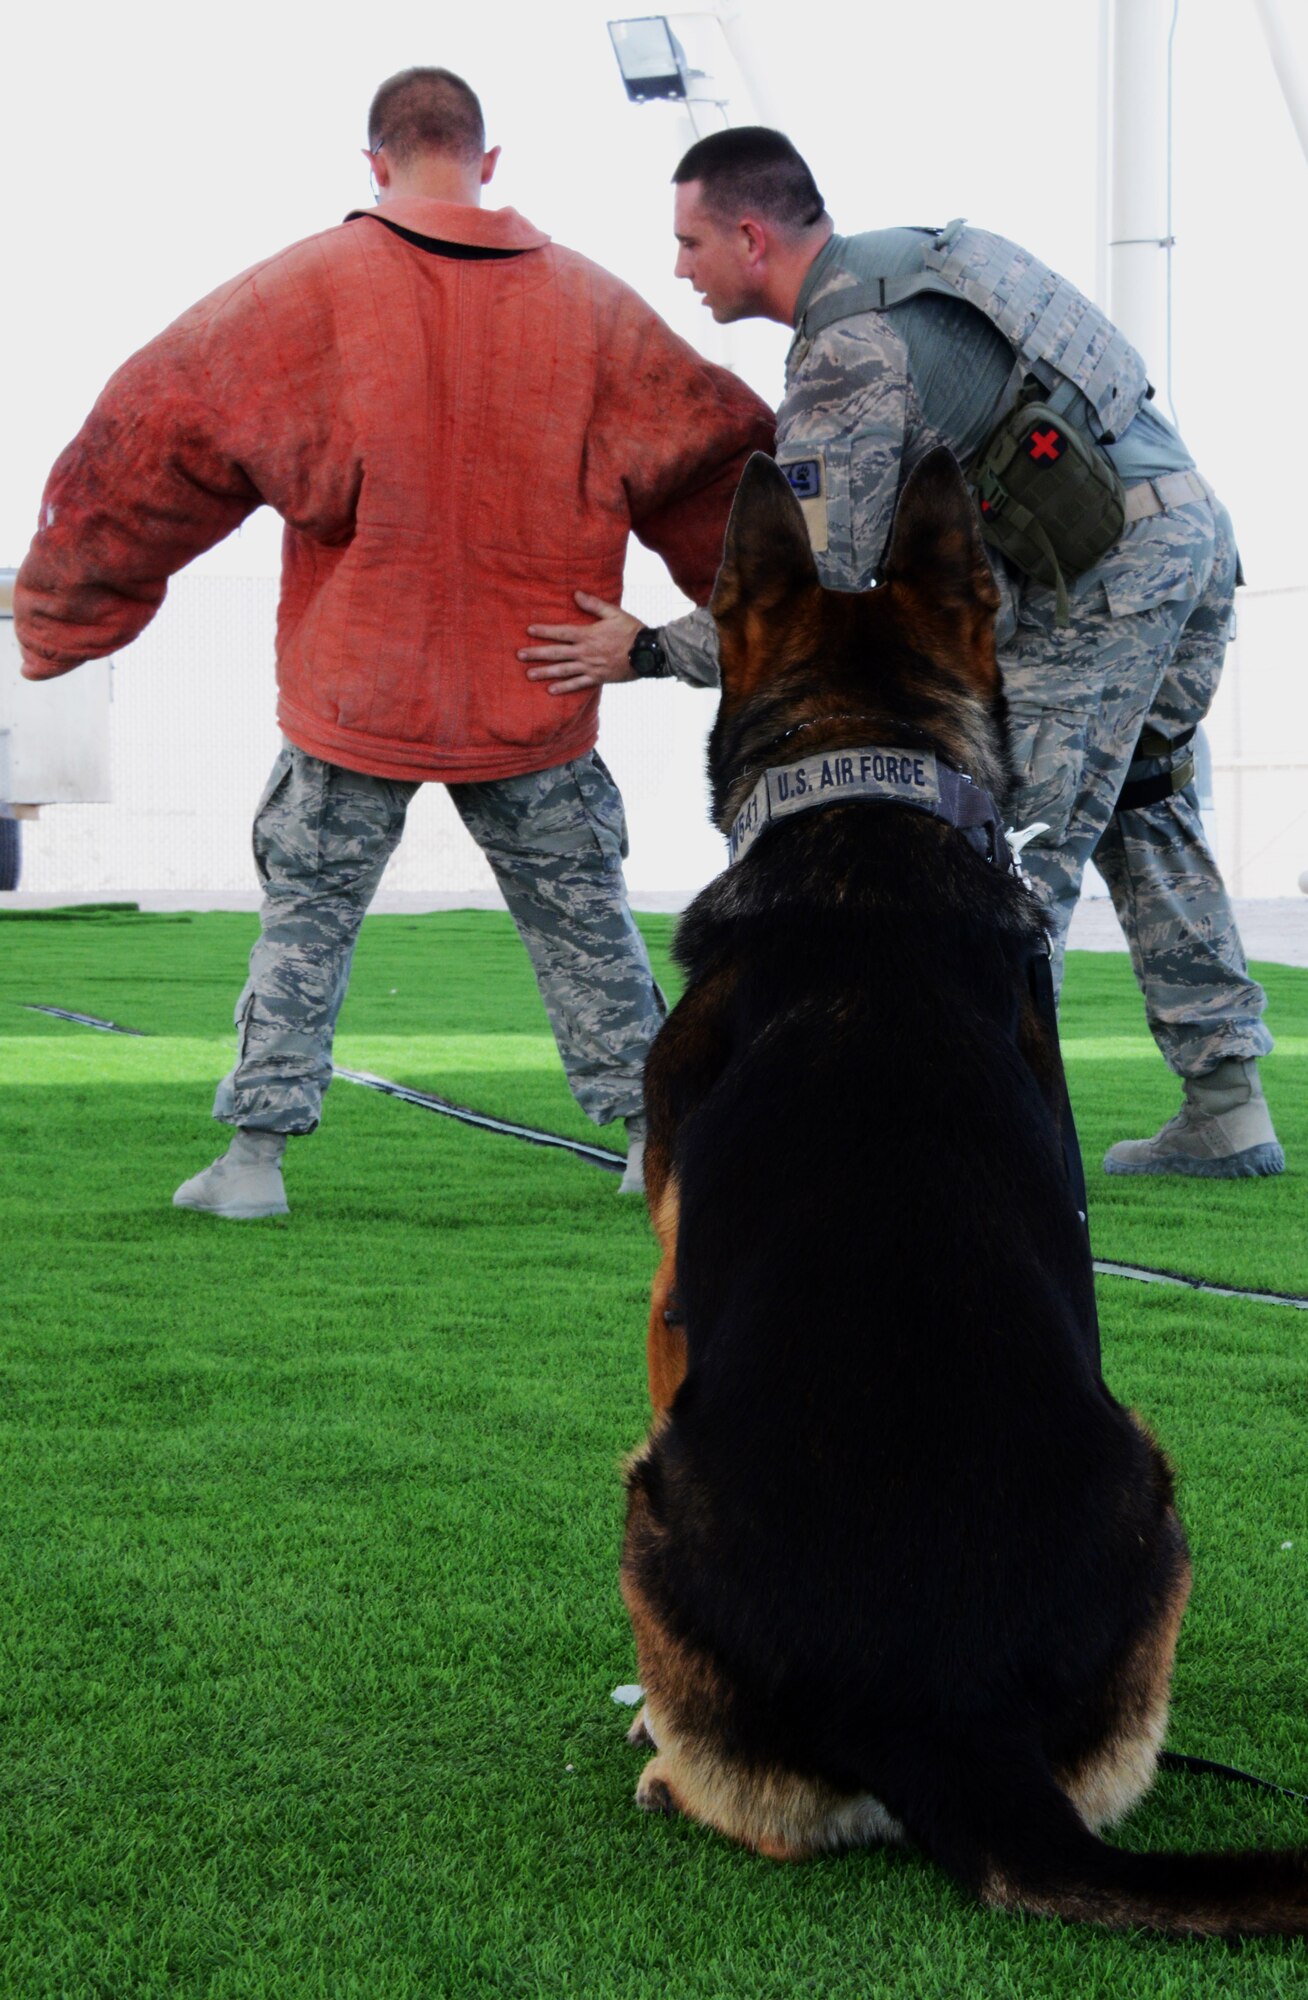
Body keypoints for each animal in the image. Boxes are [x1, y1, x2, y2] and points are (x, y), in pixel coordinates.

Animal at [624, 446, 1308, 1928]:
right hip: (1158, 1492)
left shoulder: (664, 1297)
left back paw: (662, 1764)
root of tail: (948, 1712)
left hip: (649, 1489)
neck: (867, 810)